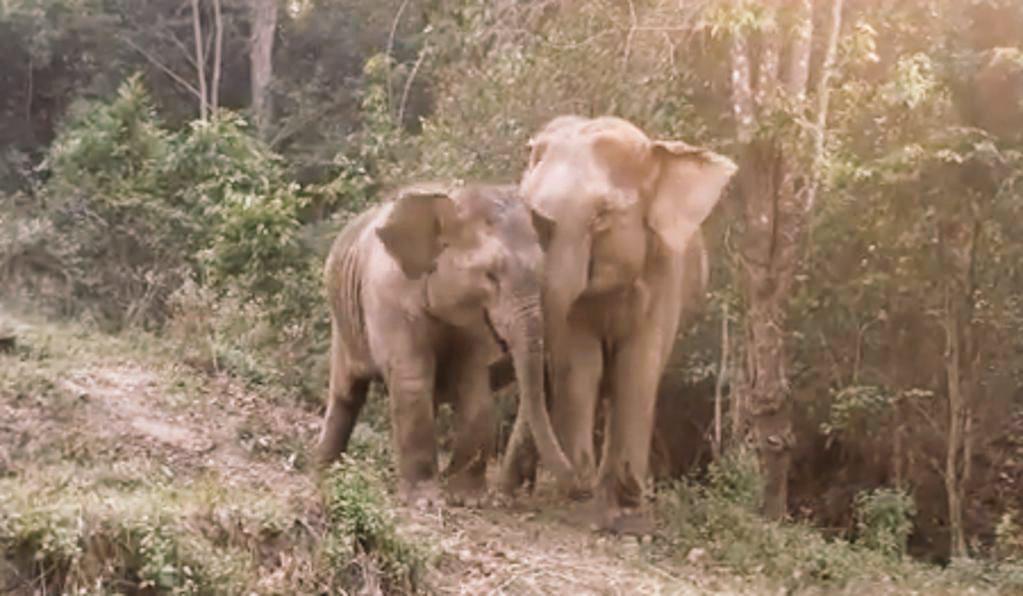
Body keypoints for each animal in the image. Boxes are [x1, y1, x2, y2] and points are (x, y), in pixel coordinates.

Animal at [314, 182, 575, 505]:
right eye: (490, 275)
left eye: (542, 274)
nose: (577, 484)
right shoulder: (387, 295)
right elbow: (411, 380)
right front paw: (424, 501)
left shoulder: (475, 319)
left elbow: (476, 391)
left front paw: (467, 498)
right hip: (342, 321)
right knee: (347, 394)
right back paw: (323, 471)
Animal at [499, 115, 736, 529]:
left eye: (602, 217)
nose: (576, 484)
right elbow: (580, 364)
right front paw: (585, 500)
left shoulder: (664, 271)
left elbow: (638, 365)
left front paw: (624, 507)